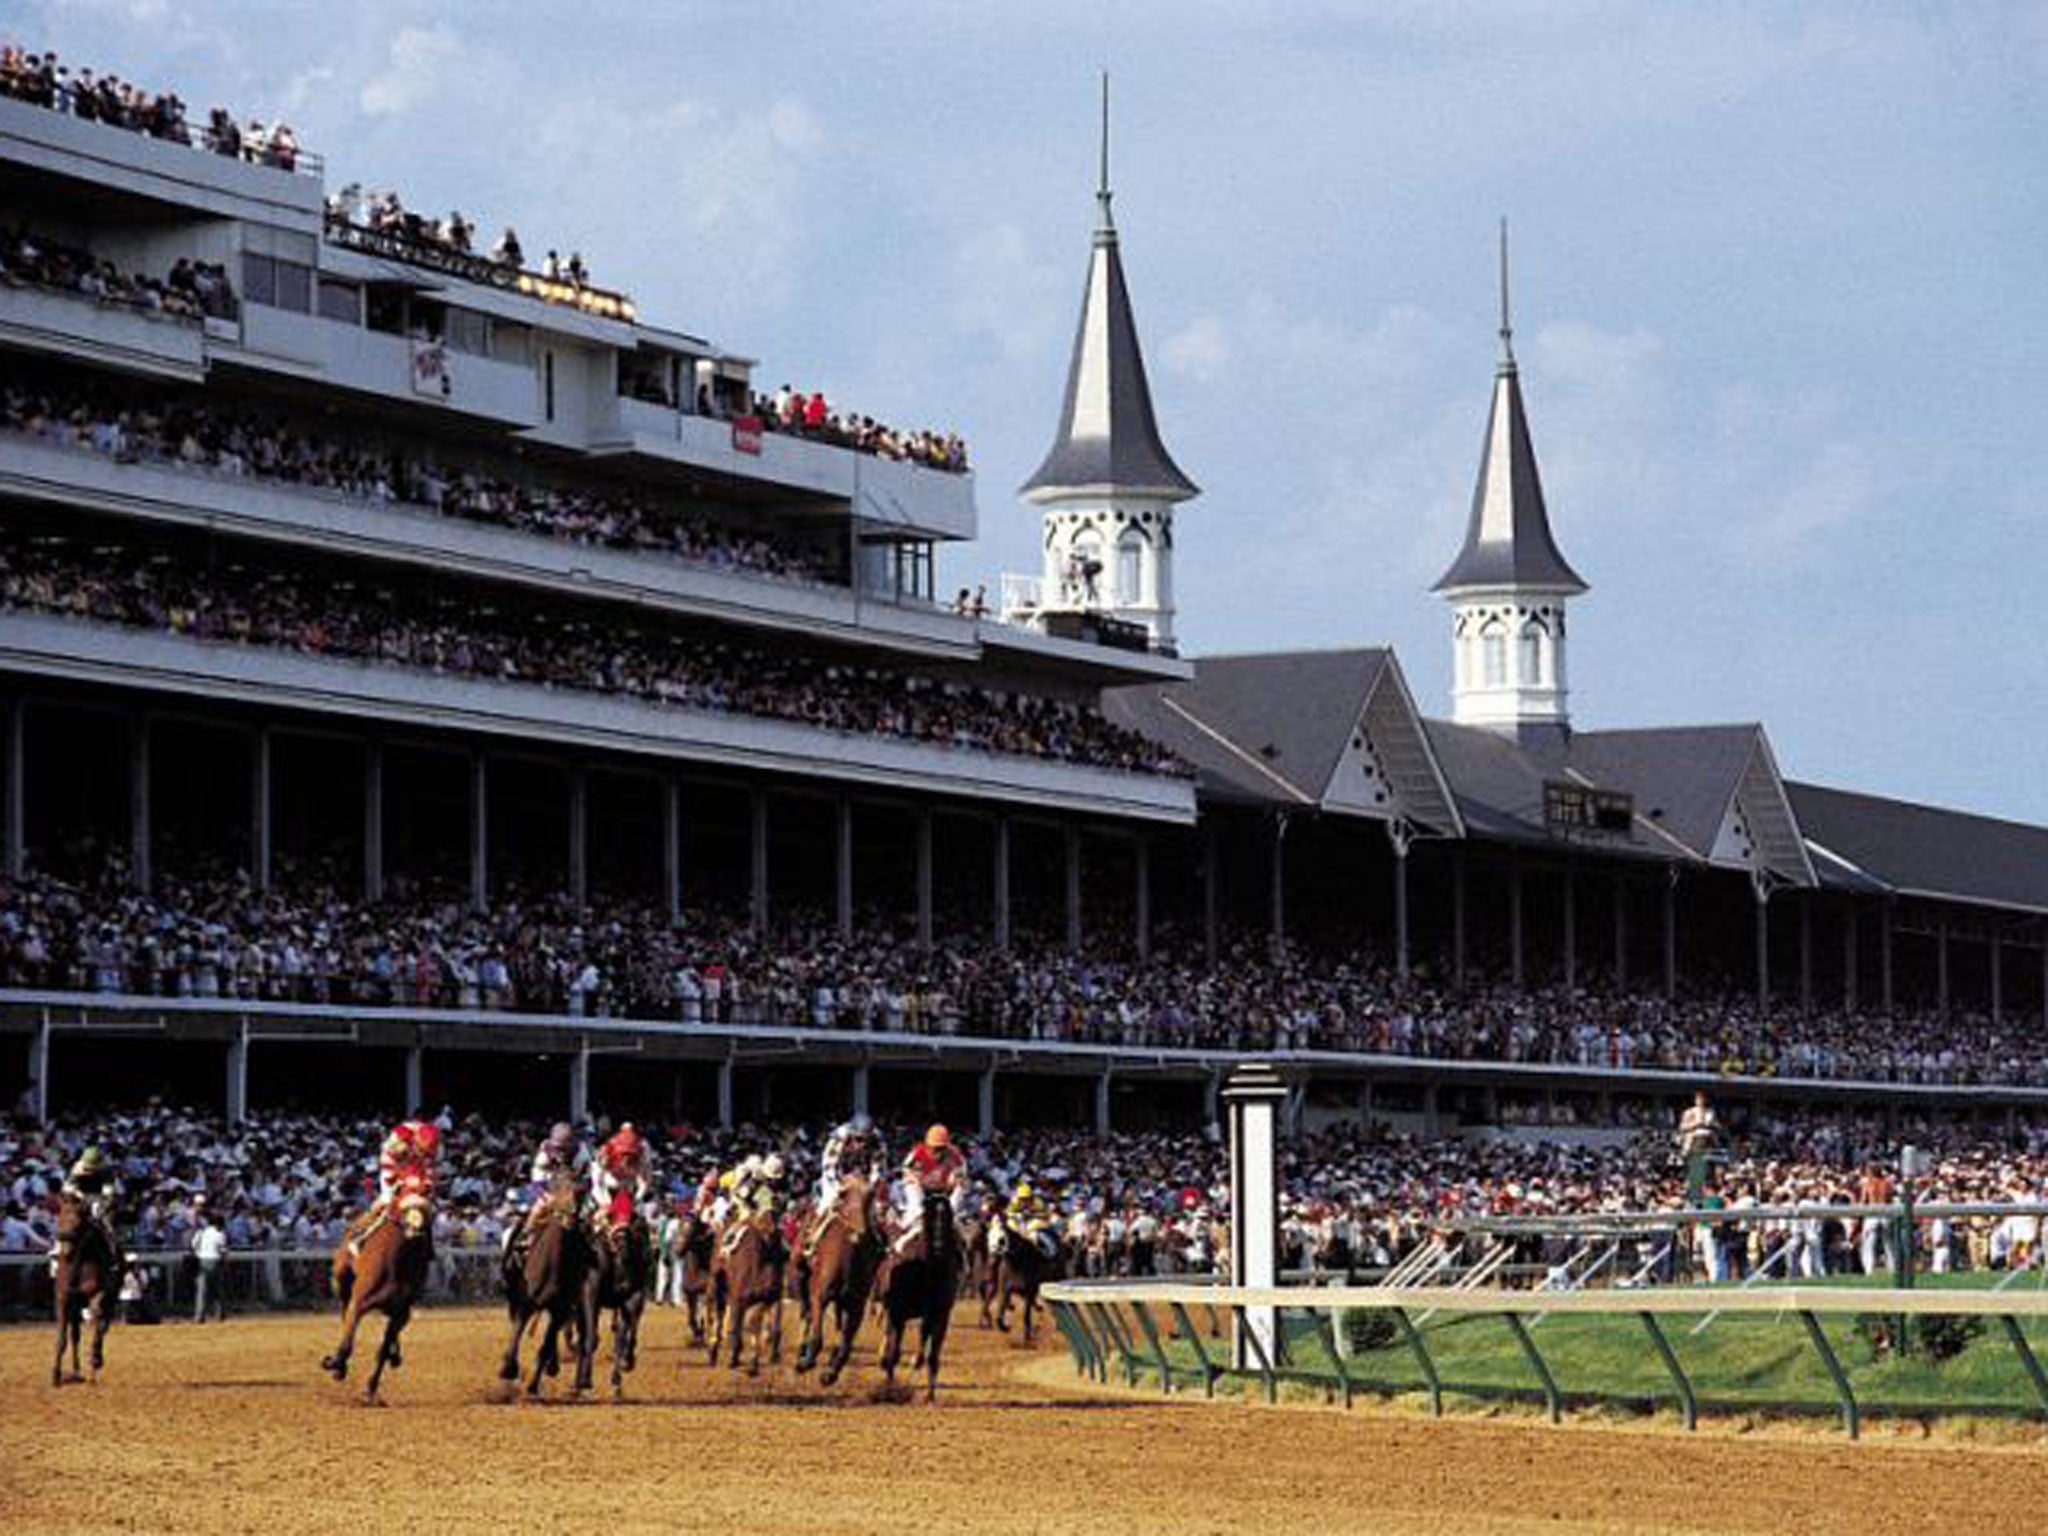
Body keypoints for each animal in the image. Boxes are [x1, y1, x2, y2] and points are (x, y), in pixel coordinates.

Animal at [50, 1196, 119, 1392]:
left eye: (79, 1222)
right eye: (60, 1217)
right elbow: (63, 1338)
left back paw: (95, 1361)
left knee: (103, 1324)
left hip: (111, 1299)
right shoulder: (64, 1299)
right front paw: (56, 1376)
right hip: (75, 1307)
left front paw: (95, 1361)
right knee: (76, 1335)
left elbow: (97, 1321)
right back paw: (76, 1372)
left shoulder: (100, 1293)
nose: (64, 1239)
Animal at [321, 1187, 430, 1409]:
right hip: (341, 1279)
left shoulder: (400, 1311)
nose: (417, 1229)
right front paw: (336, 1364)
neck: (396, 1264)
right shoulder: (359, 1303)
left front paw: (370, 1390)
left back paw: (395, 1355)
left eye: (426, 1210)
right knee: (344, 1310)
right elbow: (348, 1341)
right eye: (403, 1208)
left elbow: (382, 1350)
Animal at [499, 1187, 598, 1400]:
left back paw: (553, 1365)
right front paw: (508, 1368)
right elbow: (517, 1330)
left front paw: (532, 1387)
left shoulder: (560, 1308)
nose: (571, 1216)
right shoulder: (526, 1302)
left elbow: (545, 1346)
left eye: (582, 1191)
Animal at [716, 1220, 786, 1376]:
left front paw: (754, 1364)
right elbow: (739, 1325)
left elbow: (755, 1325)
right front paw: (735, 1359)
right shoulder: (739, 1300)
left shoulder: (763, 1299)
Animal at [790, 1187, 880, 1392]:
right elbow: (818, 1333)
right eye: (843, 1195)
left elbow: (845, 1342)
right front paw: (806, 1362)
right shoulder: (820, 1295)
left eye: (870, 1197)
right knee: (807, 1311)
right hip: (803, 1274)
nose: (860, 1232)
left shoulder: (855, 1304)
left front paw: (829, 1373)